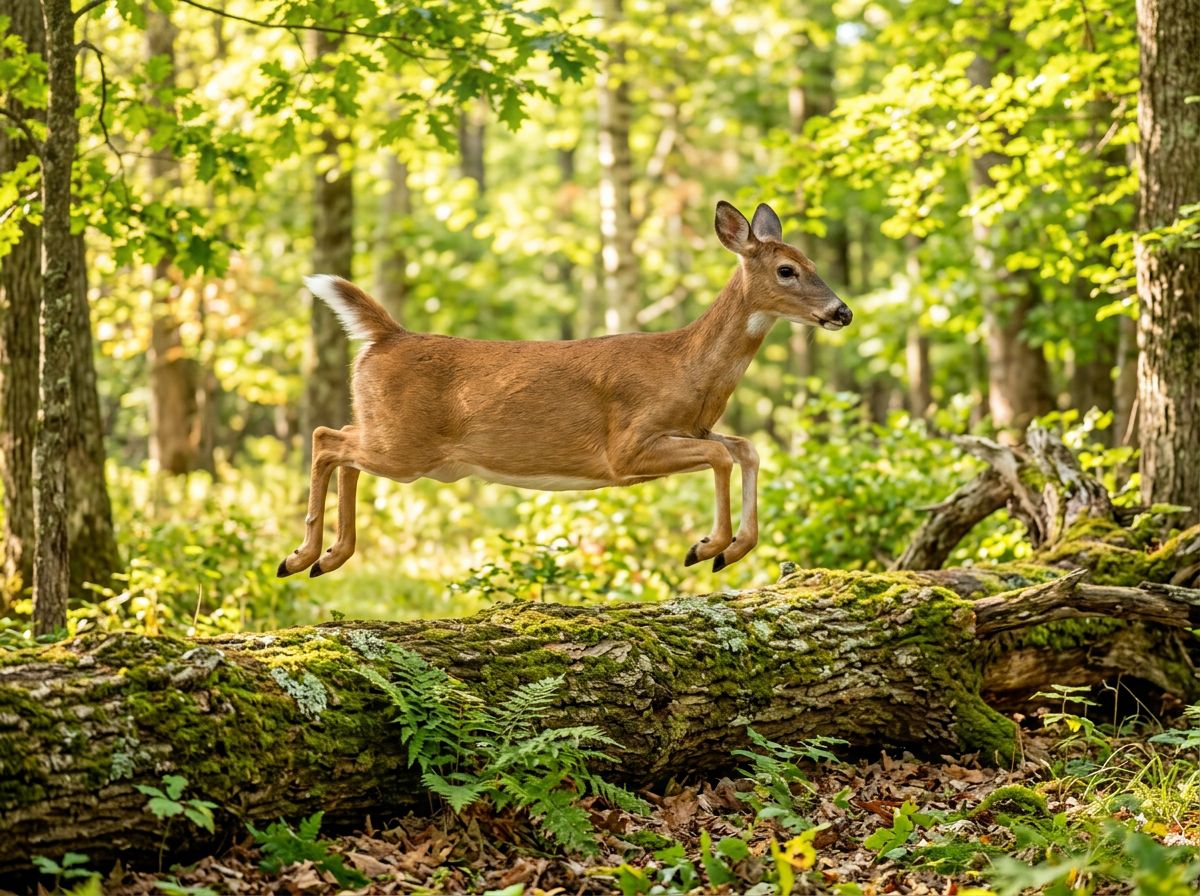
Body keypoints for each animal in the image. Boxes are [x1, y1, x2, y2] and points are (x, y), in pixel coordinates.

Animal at [277, 200, 852, 579]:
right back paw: (301, 556)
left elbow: (746, 448)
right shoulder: (627, 446)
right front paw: (709, 545)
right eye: (787, 269)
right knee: (326, 438)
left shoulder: (694, 426)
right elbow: (722, 456)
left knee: (341, 443)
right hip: (403, 446)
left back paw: (327, 558)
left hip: (395, 438)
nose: (842, 311)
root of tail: (388, 335)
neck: (685, 368)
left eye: (814, 264)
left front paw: (732, 548)